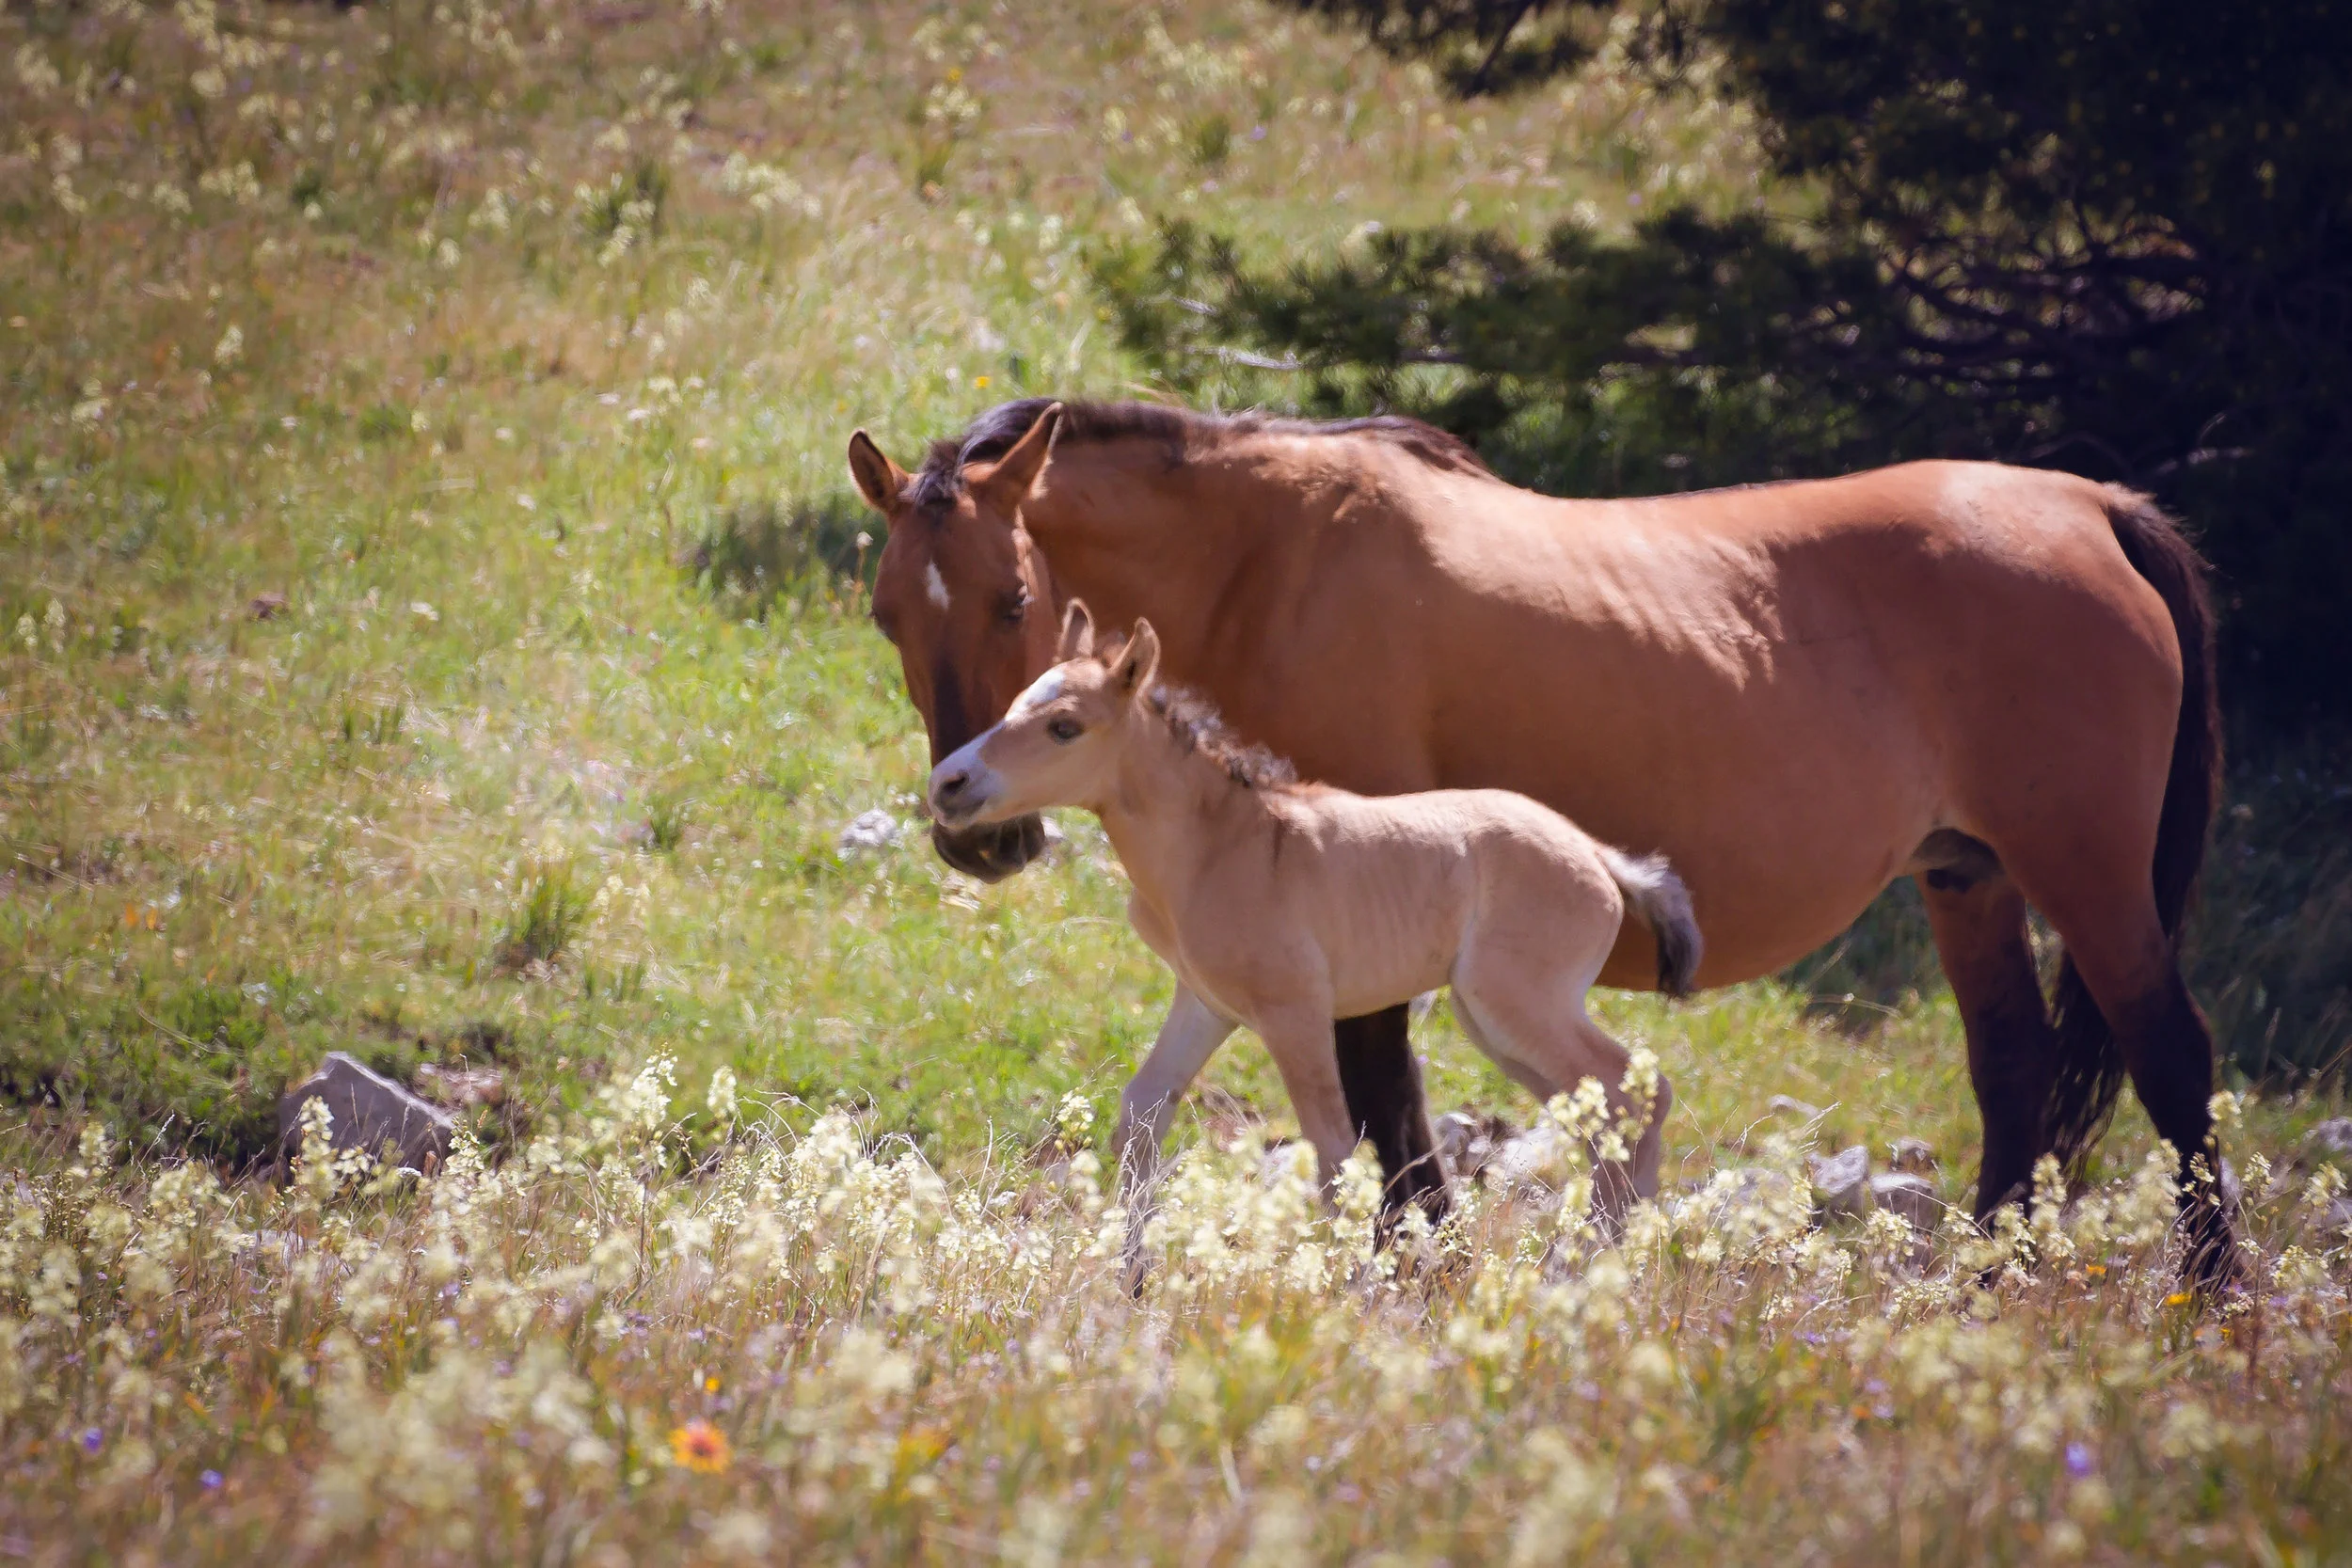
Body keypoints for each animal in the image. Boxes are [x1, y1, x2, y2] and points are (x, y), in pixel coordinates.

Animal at [926, 599, 1703, 1251]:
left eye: (1064, 726)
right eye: (1015, 704)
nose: (948, 784)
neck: (1217, 843)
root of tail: (1600, 856)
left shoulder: (1293, 1009)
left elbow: (1330, 1146)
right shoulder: (1204, 1001)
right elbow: (1143, 1114)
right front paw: (1127, 1280)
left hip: (1515, 1001)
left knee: (1633, 1092)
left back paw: (1587, 1265)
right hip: (1491, 1020)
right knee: (1612, 1111)